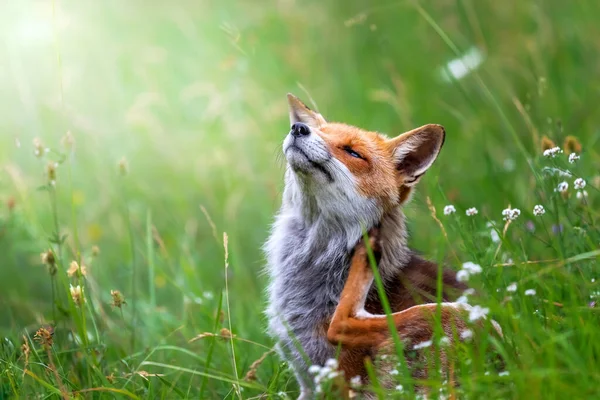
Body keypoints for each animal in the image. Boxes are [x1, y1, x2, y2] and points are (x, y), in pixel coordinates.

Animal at [264, 94, 500, 396]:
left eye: (353, 152)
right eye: (320, 132)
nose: (298, 129)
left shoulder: (342, 378)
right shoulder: (309, 382)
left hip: (456, 314)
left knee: (344, 323)